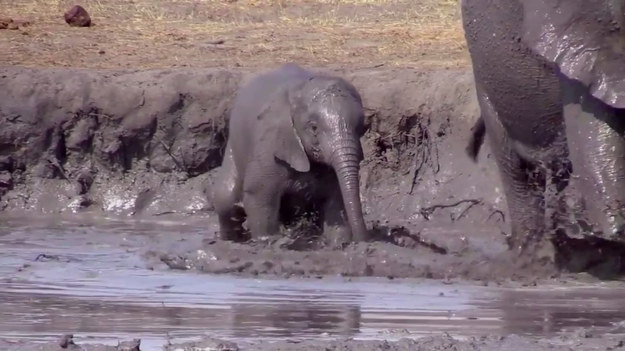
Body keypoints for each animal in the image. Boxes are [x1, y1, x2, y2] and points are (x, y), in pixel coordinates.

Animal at [214, 63, 370, 243]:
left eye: (361, 127)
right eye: (313, 128)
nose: (363, 240)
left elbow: (335, 197)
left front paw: (340, 243)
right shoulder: (268, 147)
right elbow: (259, 195)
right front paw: (267, 241)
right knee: (226, 198)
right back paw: (230, 239)